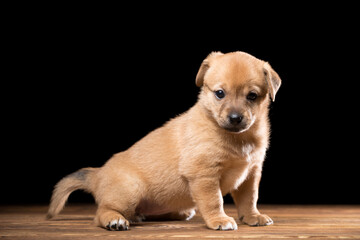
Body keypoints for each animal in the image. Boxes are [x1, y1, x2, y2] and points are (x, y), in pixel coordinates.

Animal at [47, 51, 282, 231]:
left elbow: (249, 199)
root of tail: (98, 174)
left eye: (252, 96)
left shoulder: (250, 175)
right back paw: (115, 220)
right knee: (101, 212)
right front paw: (220, 220)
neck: (237, 138)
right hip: (130, 190)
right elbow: (215, 201)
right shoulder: (204, 175)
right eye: (220, 93)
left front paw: (253, 217)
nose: (235, 118)